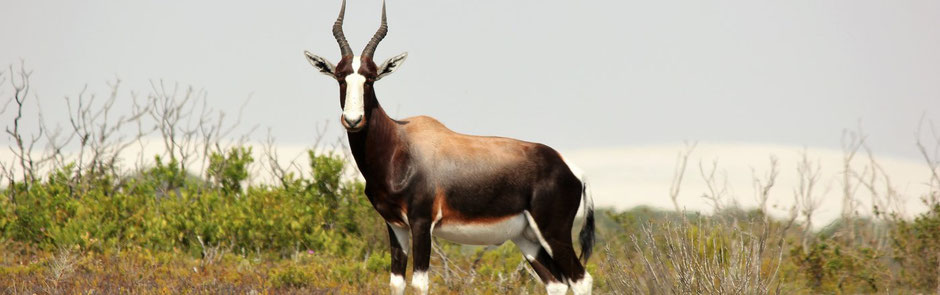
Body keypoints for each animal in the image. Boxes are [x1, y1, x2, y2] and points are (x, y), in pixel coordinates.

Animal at [302, 1, 596, 294]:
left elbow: (420, 283)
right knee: (557, 283)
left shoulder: (422, 223)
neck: (400, 145)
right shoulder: (395, 225)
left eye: (371, 77)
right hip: (527, 238)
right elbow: (396, 282)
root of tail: (571, 168)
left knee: (581, 279)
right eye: (340, 76)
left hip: (553, 233)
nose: (353, 120)